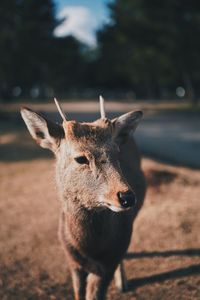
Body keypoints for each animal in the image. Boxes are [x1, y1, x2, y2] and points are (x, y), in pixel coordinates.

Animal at [20, 96, 145, 300]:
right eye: (80, 158)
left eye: (117, 152)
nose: (126, 196)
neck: (90, 251)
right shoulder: (72, 262)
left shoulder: (108, 263)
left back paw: (122, 284)